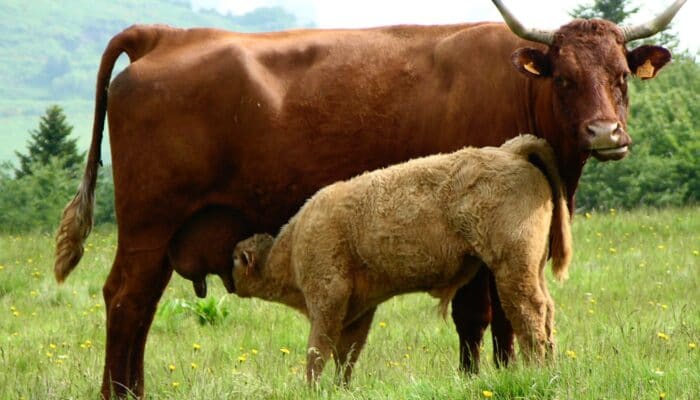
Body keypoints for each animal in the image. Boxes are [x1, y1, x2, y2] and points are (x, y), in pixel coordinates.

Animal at [53, 0, 684, 396]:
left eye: (620, 76)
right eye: (565, 78)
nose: (605, 134)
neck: (516, 85)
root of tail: (164, 35)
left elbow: (502, 316)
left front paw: (507, 375)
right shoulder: (484, 246)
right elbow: (479, 314)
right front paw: (481, 378)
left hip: (161, 237)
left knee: (140, 308)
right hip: (147, 227)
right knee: (126, 301)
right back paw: (119, 393)